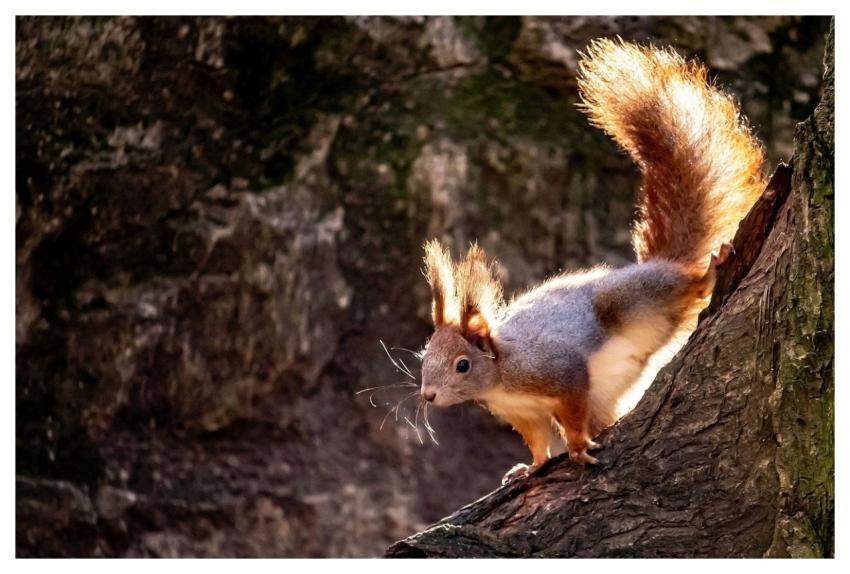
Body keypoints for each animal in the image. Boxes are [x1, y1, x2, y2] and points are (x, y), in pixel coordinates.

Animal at [417, 39, 766, 482]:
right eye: (424, 358)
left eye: (462, 365)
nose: (428, 395)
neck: (500, 376)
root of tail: (659, 264)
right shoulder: (524, 413)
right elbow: (537, 441)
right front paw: (530, 467)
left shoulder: (559, 372)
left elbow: (572, 412)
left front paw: (579, 447)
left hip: (636, 295)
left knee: (685, 284)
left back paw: (709, 271)